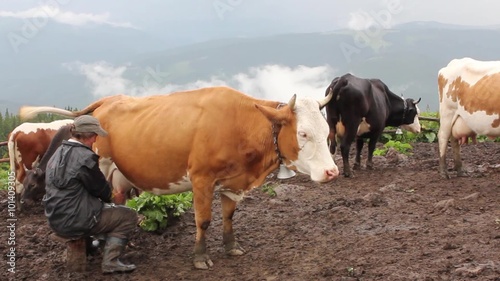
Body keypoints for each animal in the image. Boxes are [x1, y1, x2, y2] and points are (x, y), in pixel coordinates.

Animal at [19, 86, 340, 270]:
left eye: (327, 131)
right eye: (303, 133)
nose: (332, 172)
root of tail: (108, 101)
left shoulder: (232, 181)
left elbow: (228, 217)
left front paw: (231, 247)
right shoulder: (201, 179)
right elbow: (204, 220)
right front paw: (200, 257)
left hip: (120, 175)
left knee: (119, 199)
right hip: (105, 165)